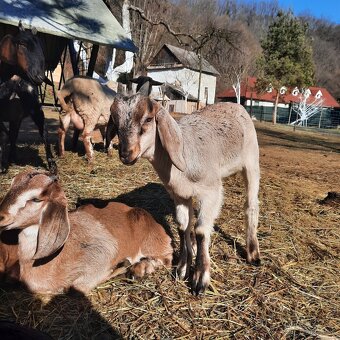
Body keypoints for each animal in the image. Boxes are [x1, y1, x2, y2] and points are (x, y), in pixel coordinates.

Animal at [0, 170, 171, 294]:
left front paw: (123, 265)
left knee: (166, 260)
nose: (1, 216)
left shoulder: (103, 253)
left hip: (155, 245)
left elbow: (77, 288)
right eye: (12, 185)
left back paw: (140, 269)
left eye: (36, 199)